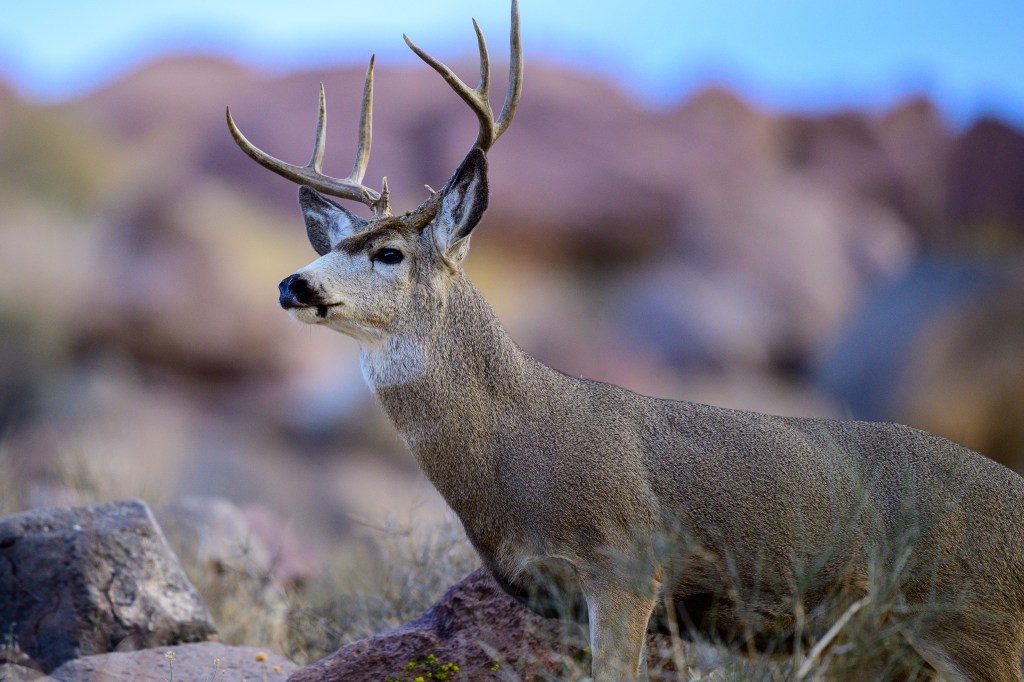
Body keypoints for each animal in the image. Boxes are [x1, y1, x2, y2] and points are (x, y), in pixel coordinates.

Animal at [226, 3, 1024, 680]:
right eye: (340, 245)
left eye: (389, 253)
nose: (293, 284)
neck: (515, 448)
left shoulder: (627, 567)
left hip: (976, 625)